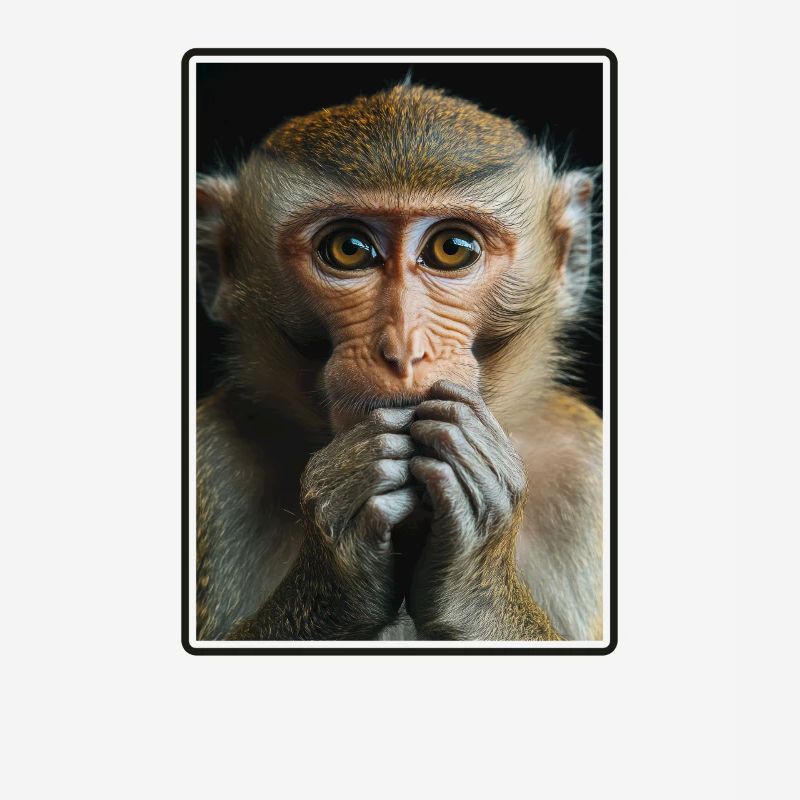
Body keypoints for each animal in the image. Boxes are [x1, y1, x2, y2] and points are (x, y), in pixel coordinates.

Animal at [195, 83, 602, 642]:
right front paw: (340, 557)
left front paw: (475, 578)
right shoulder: (213, 455)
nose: (403, 349)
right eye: (349, 249)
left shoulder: (585, 467)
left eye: (452, 248)